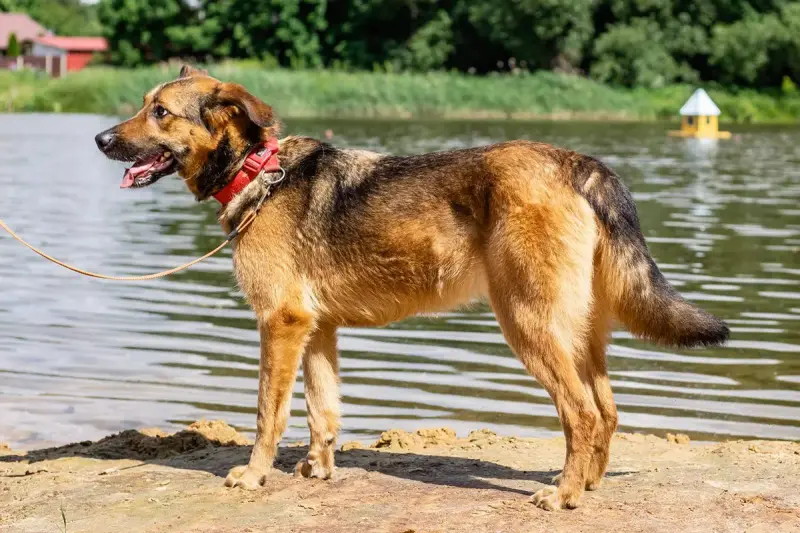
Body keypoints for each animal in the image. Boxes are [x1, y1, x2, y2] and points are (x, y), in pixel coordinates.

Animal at [94, 64, 724, 510]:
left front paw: (254, 475)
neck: (259, 169)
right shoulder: (317, 330)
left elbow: (267, 415)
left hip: (528, 324)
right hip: (579, 331)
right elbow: (323, 412)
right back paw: (587, 485)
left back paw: (564, 494)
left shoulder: (280, 324)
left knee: (583, 414)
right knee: (608, 411)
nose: (100, 139)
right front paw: (319, 470)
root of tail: (577, 162)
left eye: (160, 112)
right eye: (143, 105)